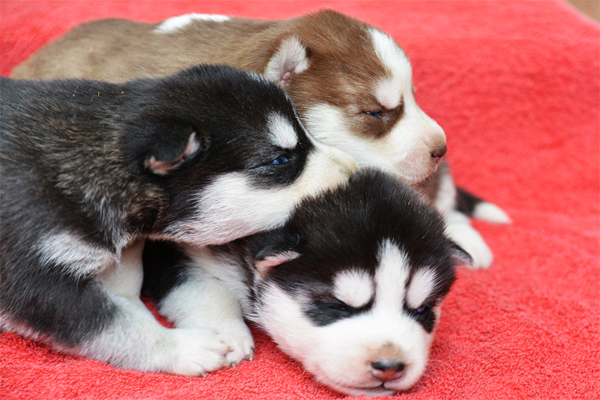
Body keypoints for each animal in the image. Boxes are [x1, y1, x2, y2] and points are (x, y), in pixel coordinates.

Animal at [143, 168, 472, 394]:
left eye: (422, 310)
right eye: (338, 306)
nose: (390, 367)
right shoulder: (169, 246)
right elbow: (202, 287)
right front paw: (226, 332)